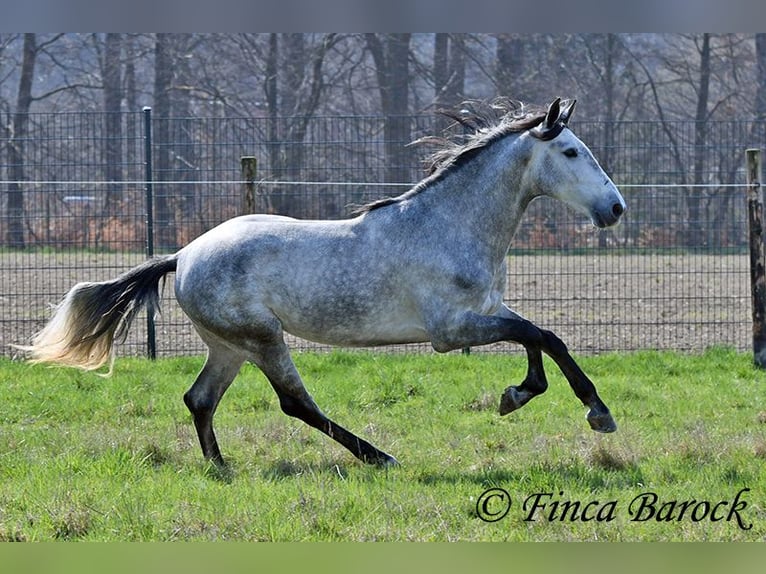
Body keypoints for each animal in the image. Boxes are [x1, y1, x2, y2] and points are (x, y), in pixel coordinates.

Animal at [20, 97, 626, 468]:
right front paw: (590, 411)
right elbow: (540, 335)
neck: (449, 224)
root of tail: (183, 255)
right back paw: (379, 457)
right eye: (571, 151)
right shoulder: (450, 330)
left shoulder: (485, 312)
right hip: (262, 339)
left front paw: (523, 397)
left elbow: (540, 337)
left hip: (229, 346)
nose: (616, 209)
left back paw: (220, 468)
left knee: (199, 399)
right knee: (295, 403)